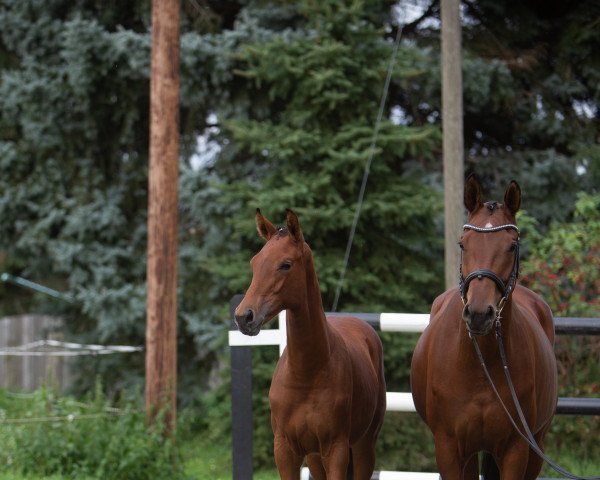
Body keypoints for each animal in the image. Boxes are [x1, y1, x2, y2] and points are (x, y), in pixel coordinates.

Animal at [233, 210, 384, 480]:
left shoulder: (335, 450)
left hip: (363, 447)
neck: (306, 373)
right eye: (254, 262)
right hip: (314, 457)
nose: (244, 317)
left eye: (286, 264)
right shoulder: (285, 450)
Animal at [412, 176, 556, 480]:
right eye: (463, 243)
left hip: (536, 443)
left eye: (512, 246)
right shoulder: (449, 449)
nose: (479, 314)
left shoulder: (516, 449)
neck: (481, 366)